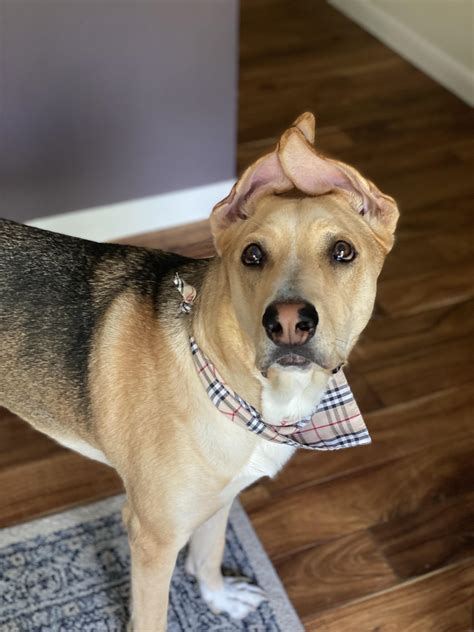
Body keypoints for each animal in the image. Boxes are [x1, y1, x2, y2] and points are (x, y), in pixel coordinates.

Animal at [1, 115, 398, 632]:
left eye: (343, 252)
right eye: (252, 255)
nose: (289, 322)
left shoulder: (222, 496)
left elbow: (210, 552)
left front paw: (218, 599)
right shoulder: (153, 539)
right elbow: (153, 616)